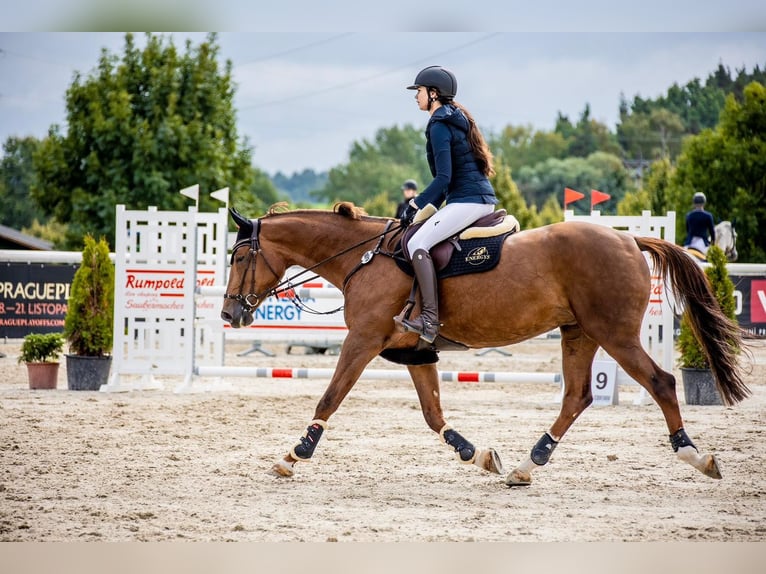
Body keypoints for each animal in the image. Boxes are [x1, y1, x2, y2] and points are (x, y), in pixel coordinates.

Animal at [220, 203, 750, 486]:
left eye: (241, 257)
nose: (229, 314)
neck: (365, 257)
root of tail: (630, 240)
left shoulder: (362, 341)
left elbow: (329, 398)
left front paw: (293, 455)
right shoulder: (415, 350)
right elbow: (433, 413)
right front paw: (476, 454)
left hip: (613, 333)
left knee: (660, 382)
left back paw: (695, 455)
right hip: (579, 333)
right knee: (577, 396)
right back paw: (526, 465)